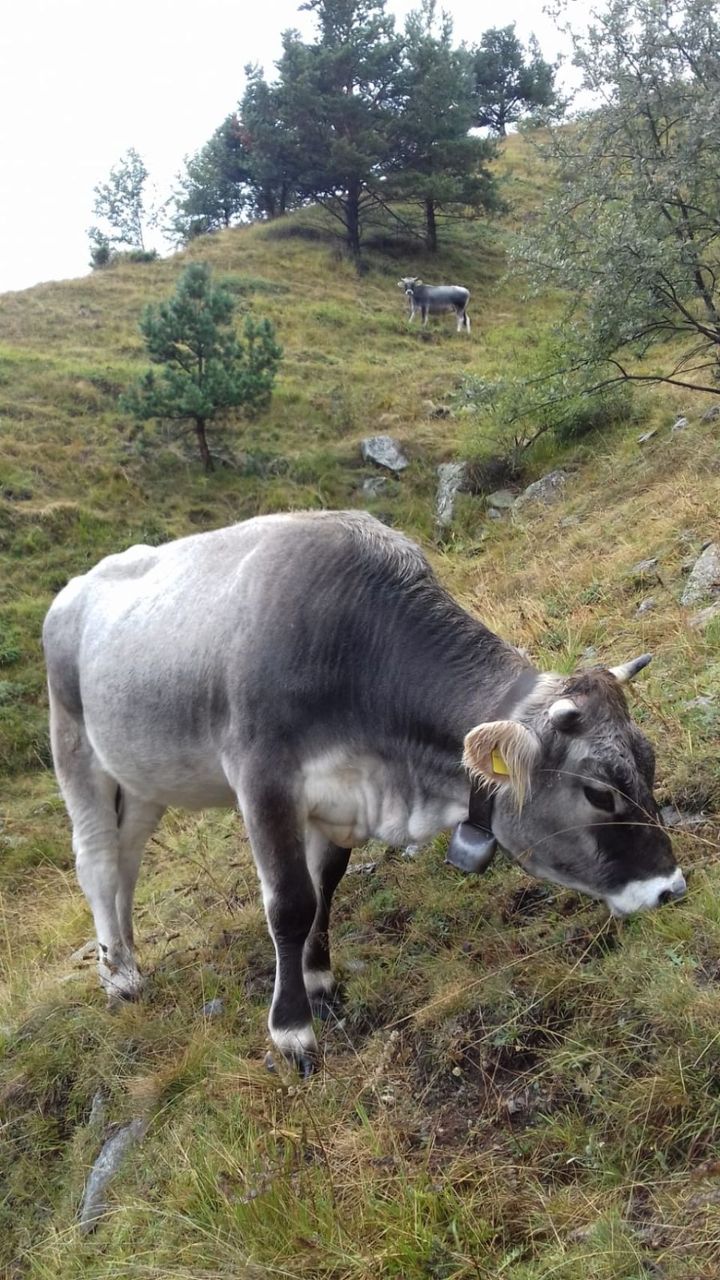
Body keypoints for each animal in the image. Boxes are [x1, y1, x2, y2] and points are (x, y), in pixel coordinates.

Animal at [41, 509, 681, 1080]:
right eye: (598, 793)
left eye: (648, 761)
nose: (671, 889)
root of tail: (73, 589)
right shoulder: (263, 778)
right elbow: (290, 902)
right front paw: (292, 1030)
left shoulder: (339, 797)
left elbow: (325, 886)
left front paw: (319, 980)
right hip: (75, 746)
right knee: (98, 860)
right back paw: (119, 977)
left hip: (142, 778)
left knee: (127, 862)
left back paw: (126, 957)